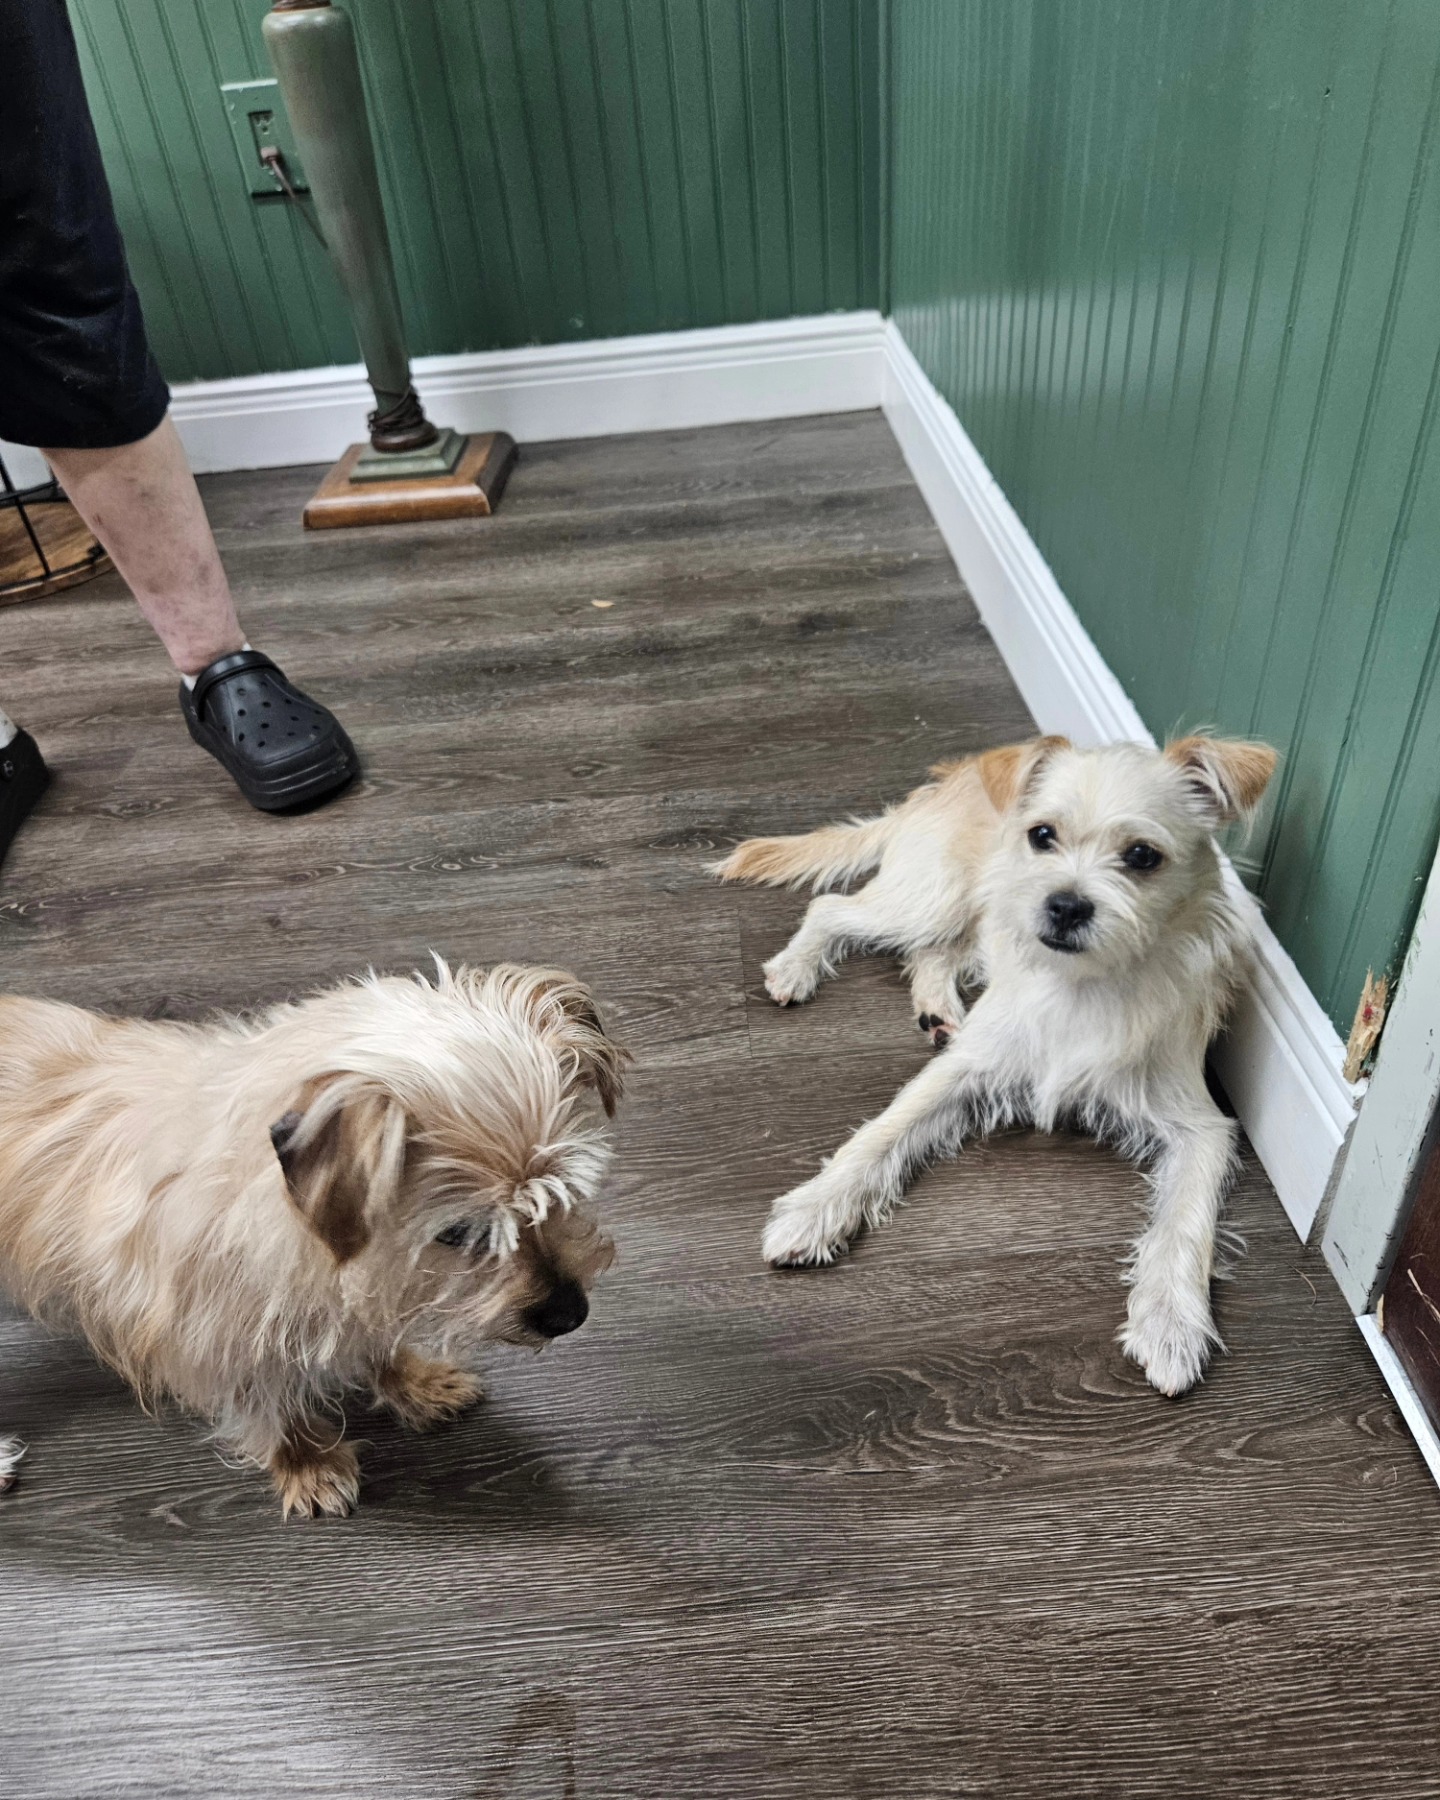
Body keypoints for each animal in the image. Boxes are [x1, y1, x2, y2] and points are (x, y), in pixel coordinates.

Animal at [0, 964, 622, 1512]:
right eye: (460, 1231)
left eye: (563, 1193)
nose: (570, 1314)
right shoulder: (212, 1335)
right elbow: (266, 1403)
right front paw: (307, 1462)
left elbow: (376, 1338)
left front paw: (413, 1381)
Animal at [712, 727, 1274, 1389]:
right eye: (1041, 835)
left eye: (1142, 856)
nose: (1064, 906)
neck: (1081, 983)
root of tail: (953, 777)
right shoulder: (964, 1069)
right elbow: (881, 1134)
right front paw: (814, 1209)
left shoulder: (1200, 1127)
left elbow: (1185, 1222)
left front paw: (1171, 1322)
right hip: (932, 899)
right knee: (834, 908)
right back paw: (796, 968)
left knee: (935, 953)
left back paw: (936, 1010)